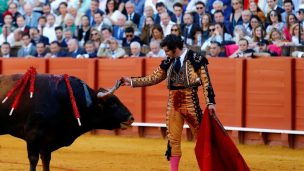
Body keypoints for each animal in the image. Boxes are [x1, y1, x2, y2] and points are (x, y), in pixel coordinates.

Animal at [0, 74, 134, 171]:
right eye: (112, 103)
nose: (131, 118)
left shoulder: (47, 140)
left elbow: (46, 160)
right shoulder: (33, 134)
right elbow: (34, 159)